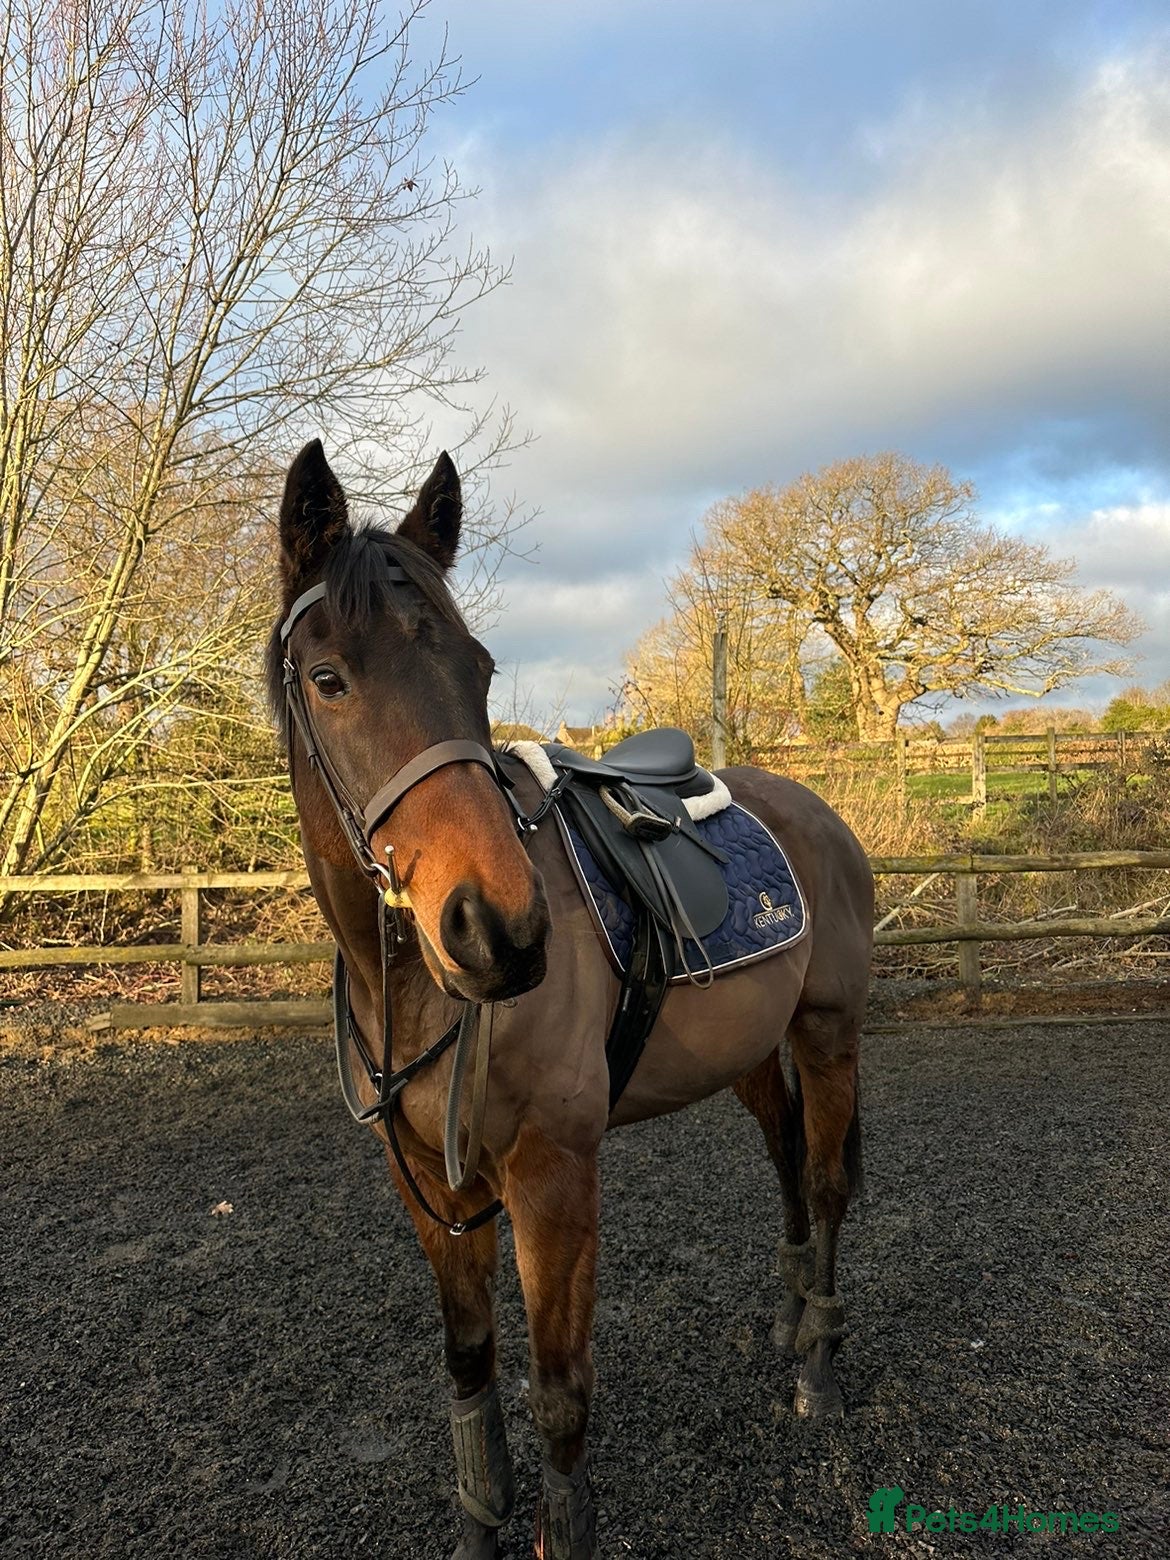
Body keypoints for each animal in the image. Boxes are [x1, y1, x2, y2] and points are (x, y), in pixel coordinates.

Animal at [267, 440, 873, 1560]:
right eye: (329, 680)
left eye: (479, 670)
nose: (499, 929)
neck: (414, 992)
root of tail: (817, 812)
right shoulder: (431, 1189)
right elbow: (469, 1377)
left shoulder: (552, 1177)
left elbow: (557, 1396)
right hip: (749, 1055)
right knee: (783, 1159)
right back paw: (787, 1314)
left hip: (828, 1036)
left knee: (823, 1185)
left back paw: (818, 1359)